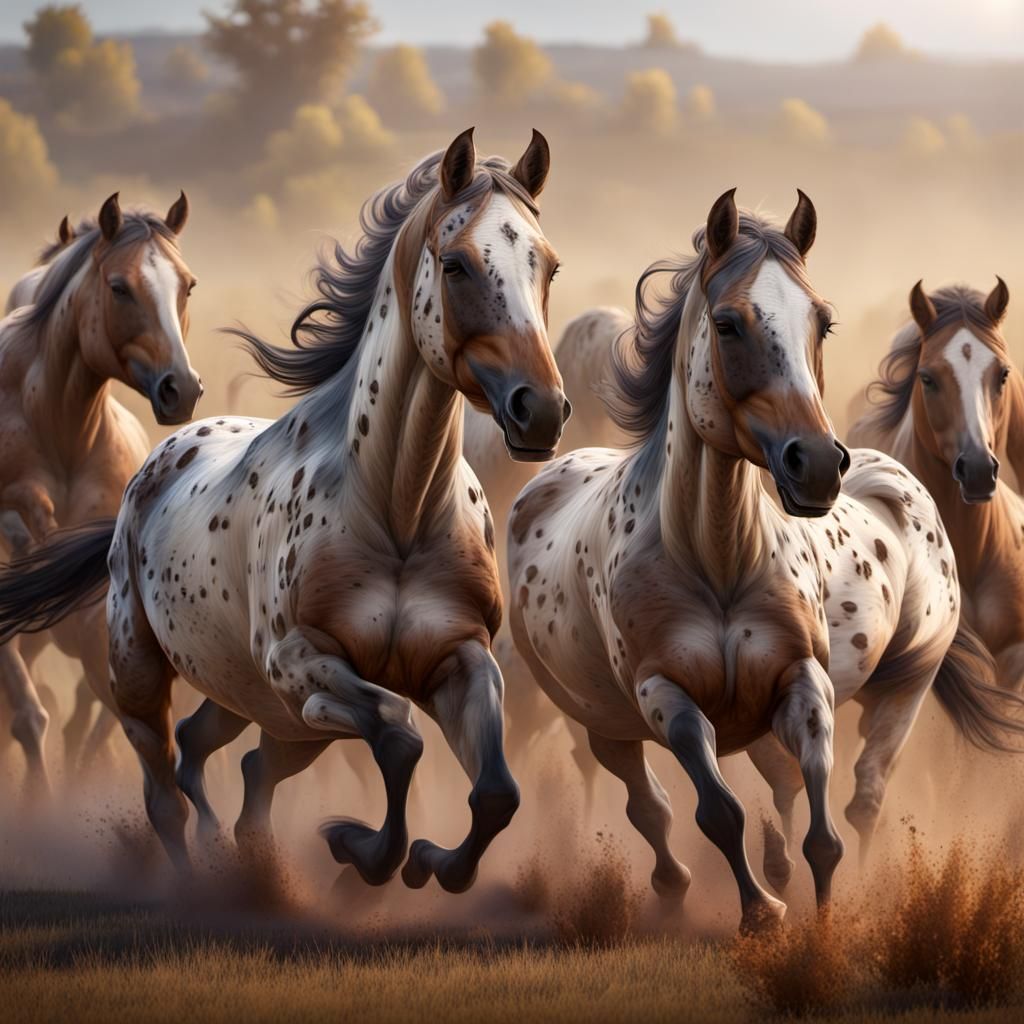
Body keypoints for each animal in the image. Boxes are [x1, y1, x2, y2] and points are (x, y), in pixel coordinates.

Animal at [507, 189, 998, 931]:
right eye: (728, 323)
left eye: (822, 322)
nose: (817, 463)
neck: (717, 559)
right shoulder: (667, 699)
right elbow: (718, 810)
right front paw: (763, 912)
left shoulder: (803, 682)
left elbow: (823, 829)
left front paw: (824, 922)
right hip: (602, 722)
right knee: (649, 806)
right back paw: (677, 886)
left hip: (904, 690)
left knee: (863, 792)